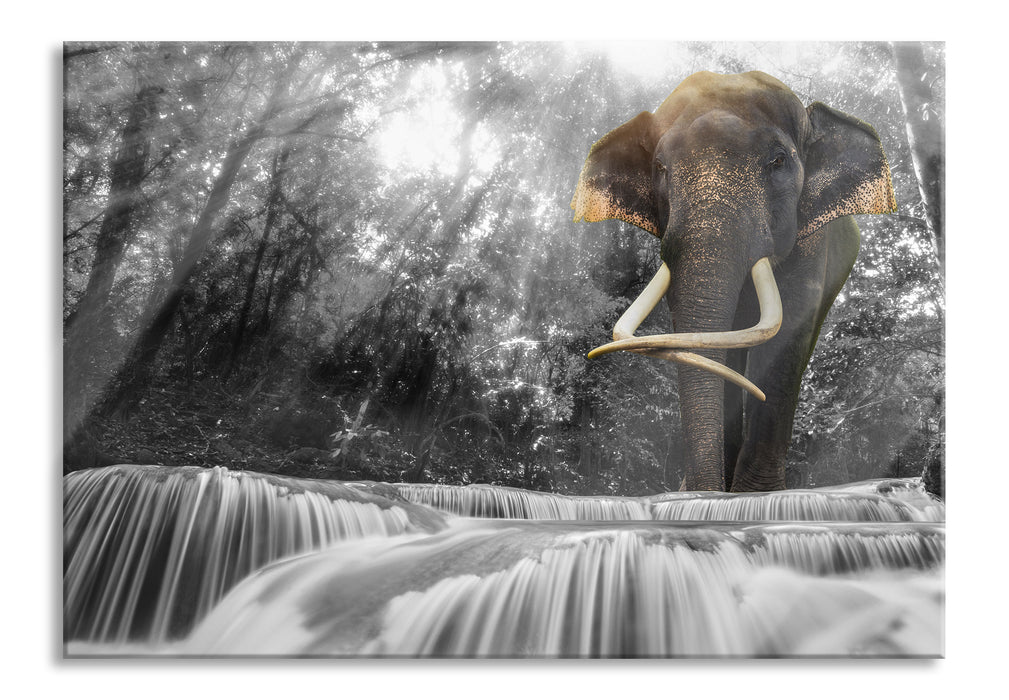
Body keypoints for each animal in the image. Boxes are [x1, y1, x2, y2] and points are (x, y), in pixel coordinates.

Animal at [571, 70, 895, 492]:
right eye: (660, 168)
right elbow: (705, 341)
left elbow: (787, 332)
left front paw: (756, 494)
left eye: (778, 160)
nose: (696, 492)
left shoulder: (810, 242)